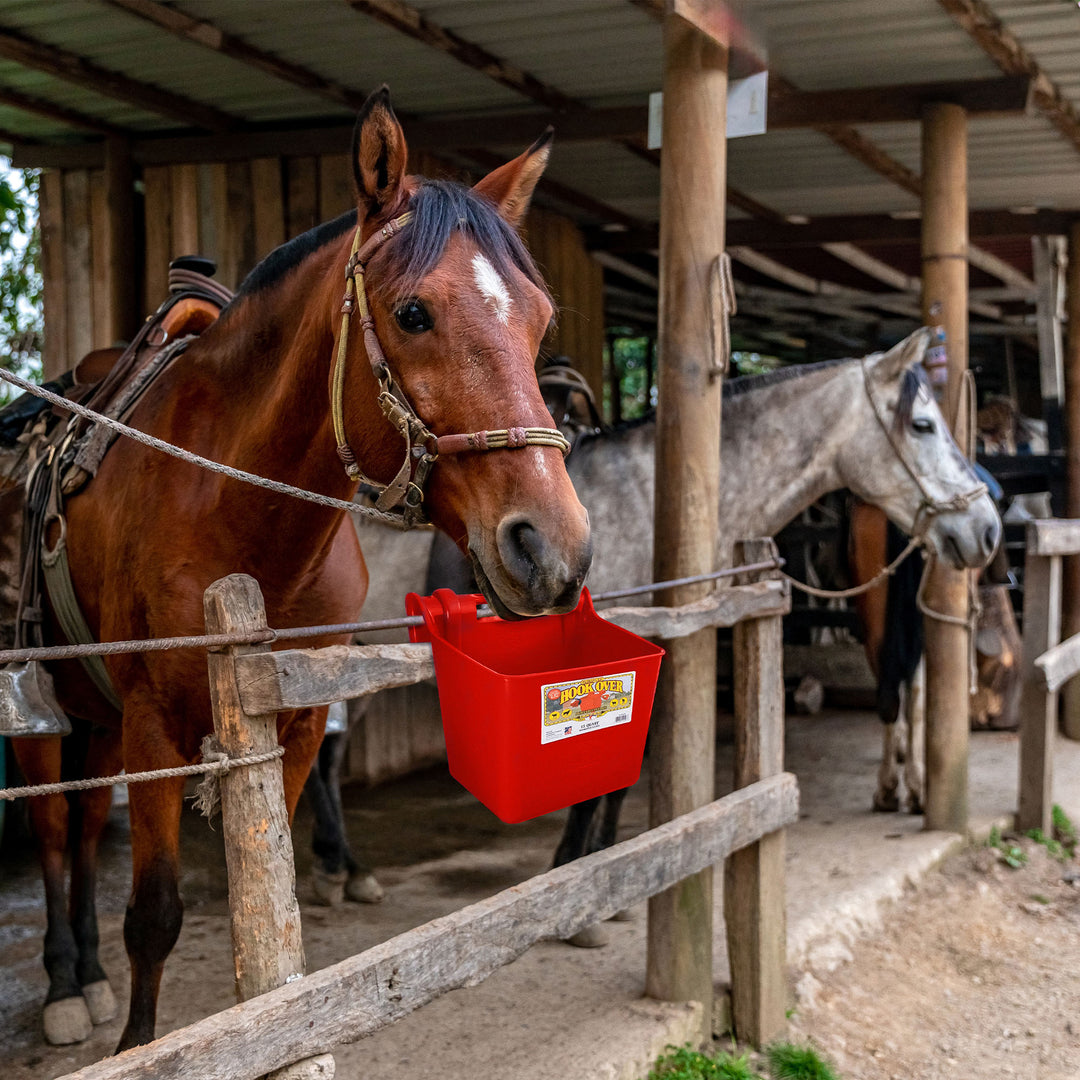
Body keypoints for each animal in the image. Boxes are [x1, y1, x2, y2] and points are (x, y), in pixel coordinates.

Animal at [10, 88, 591, 1049]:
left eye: (541, 319)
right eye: (413, 314)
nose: (550, 547)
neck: (233, 507)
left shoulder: (300, 718)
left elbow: (269, 890)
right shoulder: (154, 724)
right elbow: (154, 914)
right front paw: (140, 1043)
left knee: (87, 828)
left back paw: (83, 976)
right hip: (50, 709)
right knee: (57, 829)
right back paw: (61, 984)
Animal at [304, 326, 993, 911]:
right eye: (924, 425)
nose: (985, 528)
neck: (645, 506)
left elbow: (618, 772)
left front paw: (606, 863)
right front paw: (572, 868)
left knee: (328, 758)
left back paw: (344, 869)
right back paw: (340, 869)